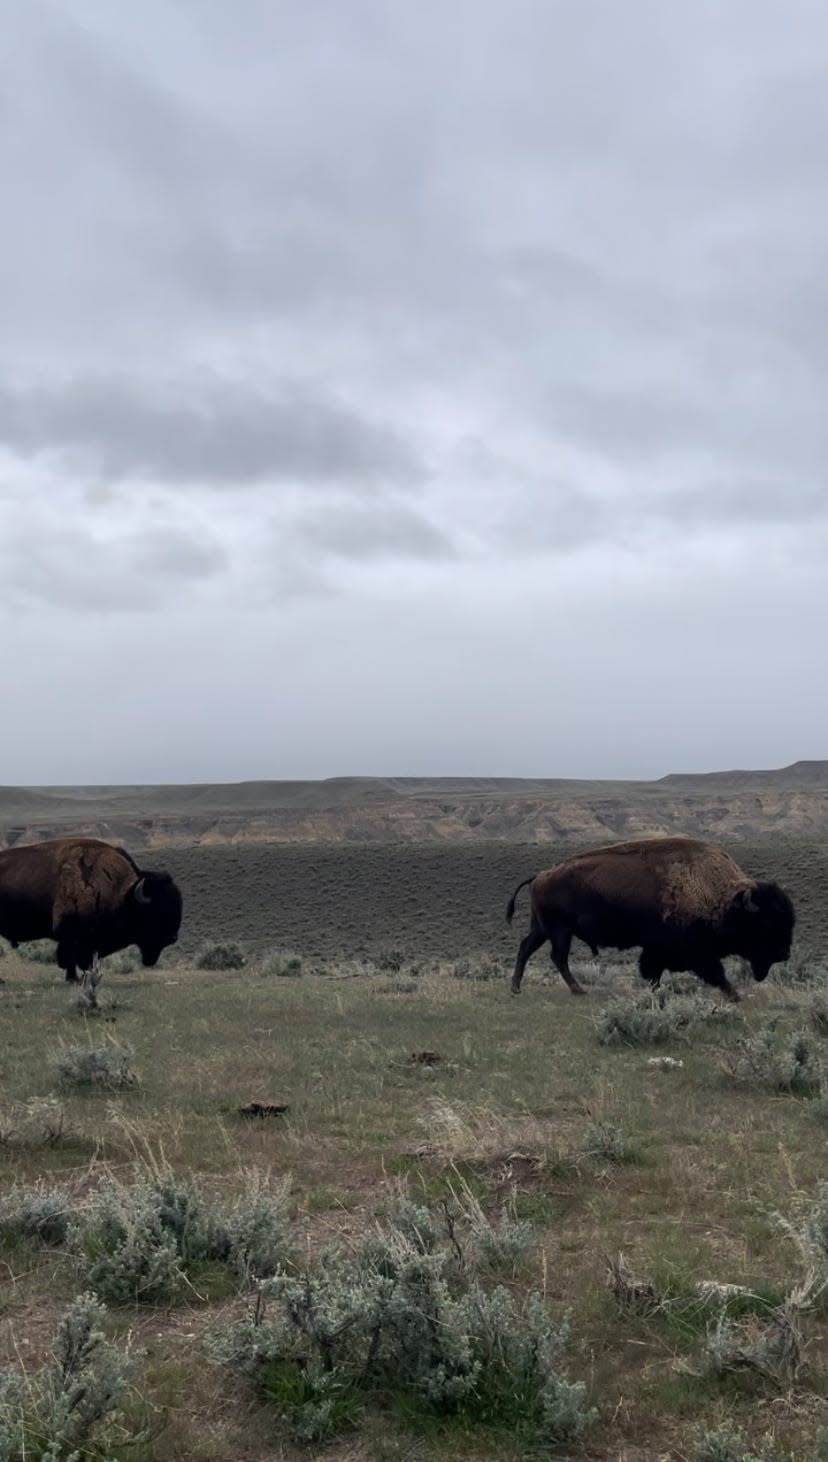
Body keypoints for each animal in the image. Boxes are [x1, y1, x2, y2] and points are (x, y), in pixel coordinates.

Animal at [0, 836, 183, 1005]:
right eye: (157, 911)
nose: (172, 938)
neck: (121, 892)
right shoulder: (71, 936)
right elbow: (70, 958)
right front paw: (73, 979)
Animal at [506, 836, 795, 1005]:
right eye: (766, 924)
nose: (784, 954)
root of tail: (540, 875)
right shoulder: (694, 951)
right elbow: (714, 972)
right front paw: (735, 996)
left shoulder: (659, 949)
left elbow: (654, 971)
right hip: (559, 930)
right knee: (558, 956)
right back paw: (577, 990)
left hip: (542, 928)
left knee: (527, 948)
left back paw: (517, 988)